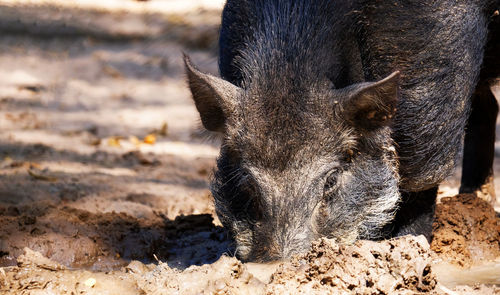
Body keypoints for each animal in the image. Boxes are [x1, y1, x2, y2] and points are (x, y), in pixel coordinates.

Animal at [185, 0, 500, 264]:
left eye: (332, 179)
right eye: (247, 181)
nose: (279, 264)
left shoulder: (432, 69)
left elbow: (421, 176)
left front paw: (409, 245)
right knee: (487, 106)